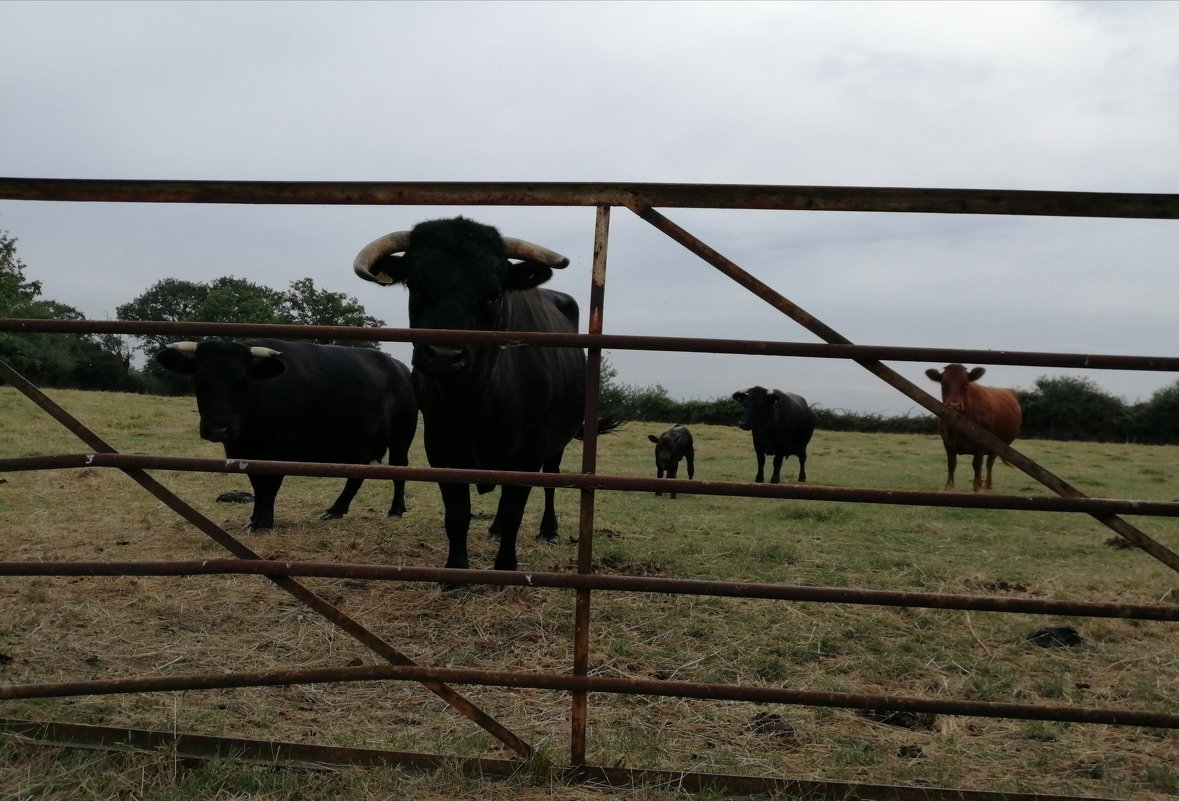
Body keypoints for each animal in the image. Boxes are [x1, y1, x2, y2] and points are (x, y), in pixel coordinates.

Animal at [154, 337, 417, 533]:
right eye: (199, 381)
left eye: (242, 382)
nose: (219, 428)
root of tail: (400, 368)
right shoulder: (246, 451)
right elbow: (258, 485)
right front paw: (255, 519)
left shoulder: (279, 449)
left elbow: (270, 485)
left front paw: (263, 523)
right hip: (360, 443)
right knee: (356, 476)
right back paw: (335, 511)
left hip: (401, 437)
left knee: (398, 470)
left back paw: (395, 510)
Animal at [351, 215, 622, 573]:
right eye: (416, 286)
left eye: (494, 295)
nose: (444, 356)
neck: (476, 401)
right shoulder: (441, 447)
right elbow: (458, 515)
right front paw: (455, 572)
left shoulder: (529, 454)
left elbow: (514, 512)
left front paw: (505, 568)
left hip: (555, 444)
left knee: (550, 480)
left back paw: (548, 530)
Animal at [919, 365, 1023, 493]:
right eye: (943, 384)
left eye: (965, 384)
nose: (954, 405)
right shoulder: (947, 442)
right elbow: (951, 464)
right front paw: (949, 486)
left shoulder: (982, 442)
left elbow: (976, 464)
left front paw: (976, 487)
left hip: (999, 446)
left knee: (989, 463)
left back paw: (987, 484)